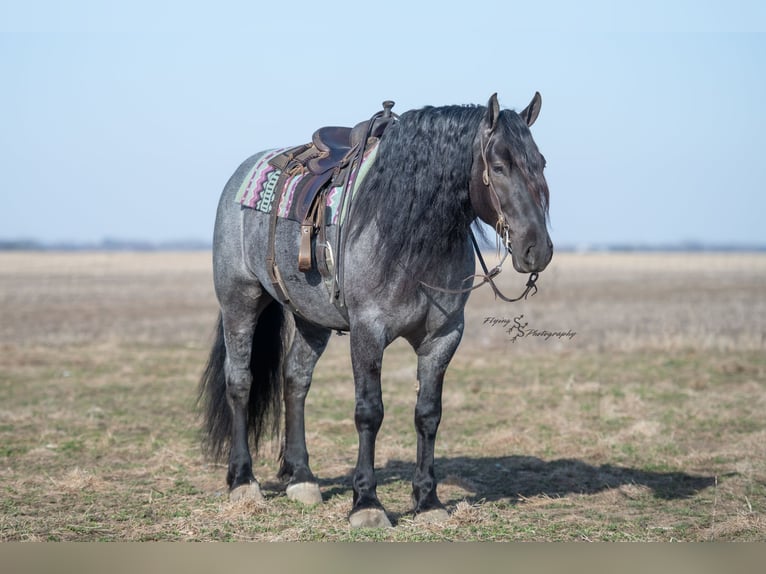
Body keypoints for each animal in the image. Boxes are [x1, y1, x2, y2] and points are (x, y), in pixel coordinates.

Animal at [198, 93, 553, 528]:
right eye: (499, 166)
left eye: (540, 163)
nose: (538, 249)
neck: (412, 237)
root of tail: (243, 172)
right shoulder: (368, 332)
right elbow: (369, 412)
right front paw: (366, 502)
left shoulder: (443, 337)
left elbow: (428, 414)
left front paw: (428, 500)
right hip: (240, 301)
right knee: (240, 382)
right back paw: (243, 481)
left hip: (311, 319)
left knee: (295, 380)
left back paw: (302, 478)